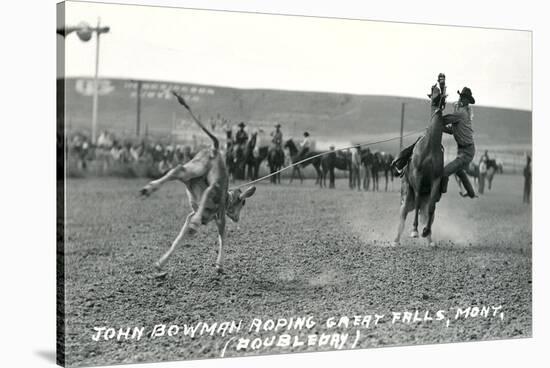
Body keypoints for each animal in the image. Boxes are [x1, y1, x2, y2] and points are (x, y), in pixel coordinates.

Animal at [140, 92, 256, 276]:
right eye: (243, 202)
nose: (237, 218)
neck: (228, 199)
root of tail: (215, 148)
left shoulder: (193, 215)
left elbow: (180, 238)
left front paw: (161, 262)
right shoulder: (221, 217)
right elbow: (223, 237)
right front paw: (219, 265)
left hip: (192, 170)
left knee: (177, 171)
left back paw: (149, 188)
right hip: (210, 179)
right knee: (208, 190)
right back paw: (194, 222)